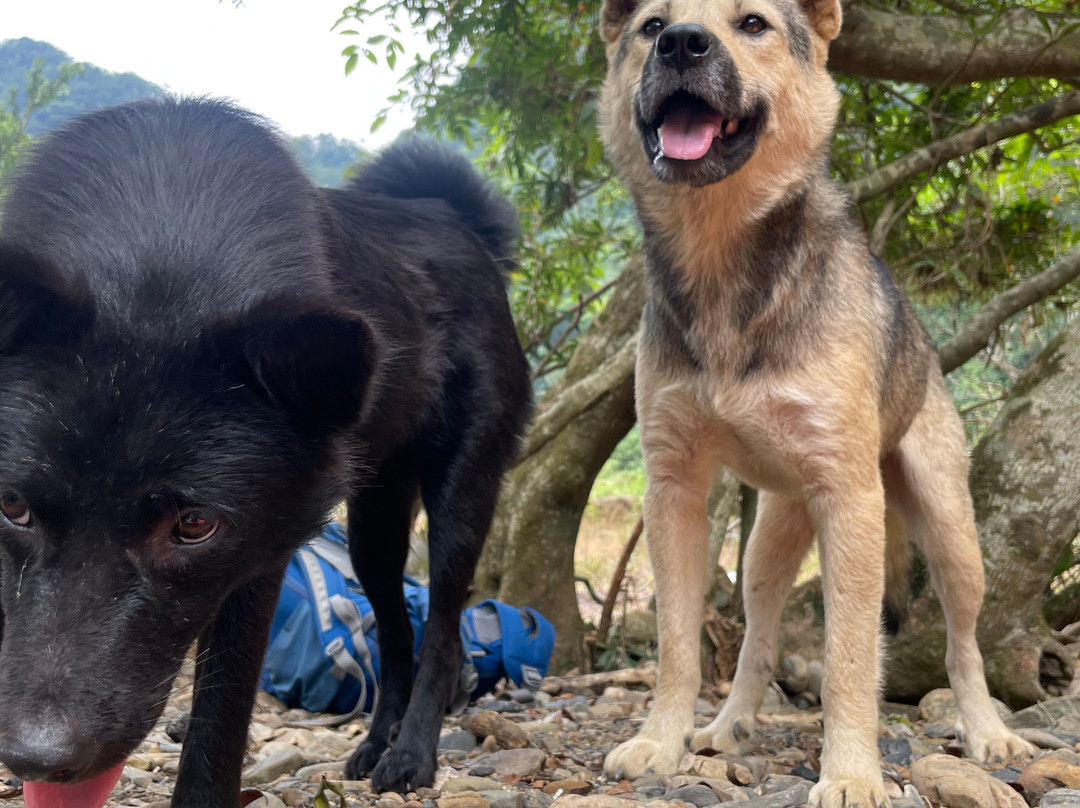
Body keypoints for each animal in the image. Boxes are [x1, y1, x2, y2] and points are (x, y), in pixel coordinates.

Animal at [0, 99, 531, 808]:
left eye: (195, 525)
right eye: (12, 506)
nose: (36, 758)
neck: (155, 256)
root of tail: (454, 218)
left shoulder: (258, 562)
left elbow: (218, 725)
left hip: (460, 496)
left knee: (441, 629)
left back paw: (411, 752)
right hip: (373, 531)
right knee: (396, 631)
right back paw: (375, 741)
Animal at [596, 0, 1032, 803]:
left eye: (753, 23)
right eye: (651, 26)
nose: (682, 46)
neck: (724, 262)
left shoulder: (849, 499)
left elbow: (852, 660)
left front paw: (852, 772)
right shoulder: (673, 488)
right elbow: (676, 645)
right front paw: (659, 741)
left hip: (951, 533)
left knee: (963, 644)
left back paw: (988, 732)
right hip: (770, 539)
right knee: (759, 637)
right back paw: (728, 725)